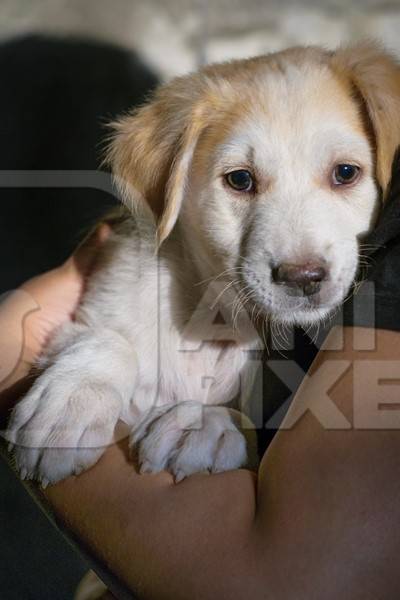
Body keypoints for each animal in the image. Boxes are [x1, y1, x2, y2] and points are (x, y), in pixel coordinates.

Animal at [5, 42, 400, 486]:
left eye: (345, 173)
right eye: (240, 180)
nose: (303, 278)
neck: (216, 324)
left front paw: (202, 424)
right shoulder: (92, 310)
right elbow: (107, 339)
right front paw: (70, 401)